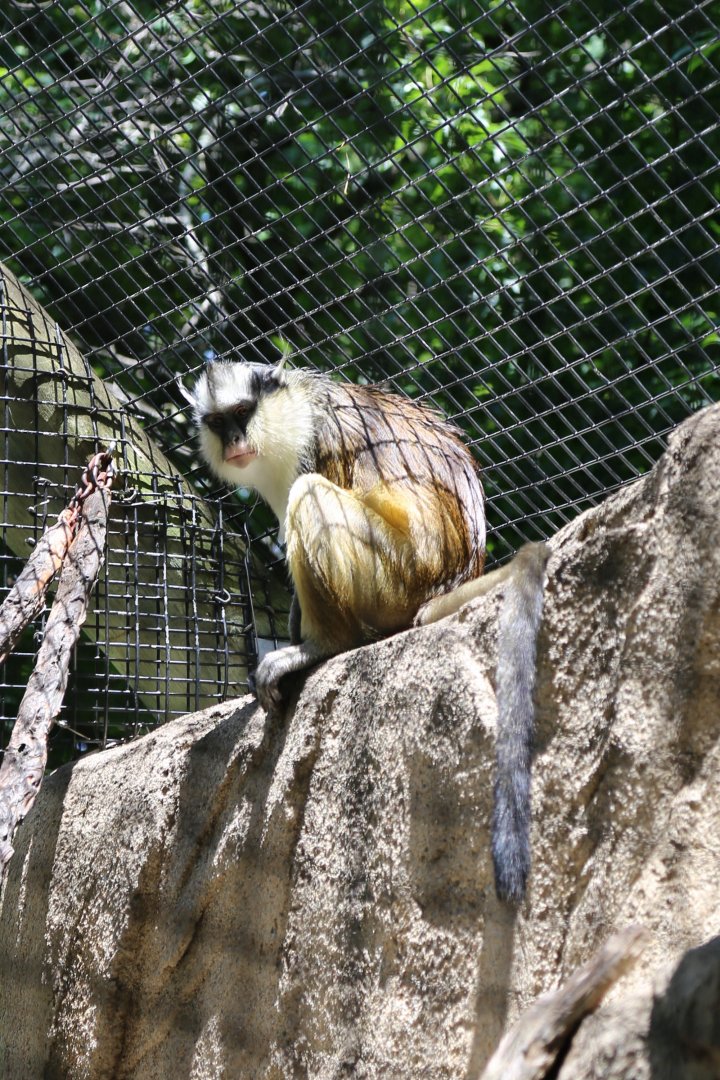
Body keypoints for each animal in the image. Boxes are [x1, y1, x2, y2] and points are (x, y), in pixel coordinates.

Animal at [189, 359, 548, 903]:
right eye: (216, 422)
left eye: (242, 412)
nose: (232, 439)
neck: (296, 406)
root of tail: (446, 581)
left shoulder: (319, 440)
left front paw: (306, 645)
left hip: (394, 577)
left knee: (311, 496)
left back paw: (323, 646)